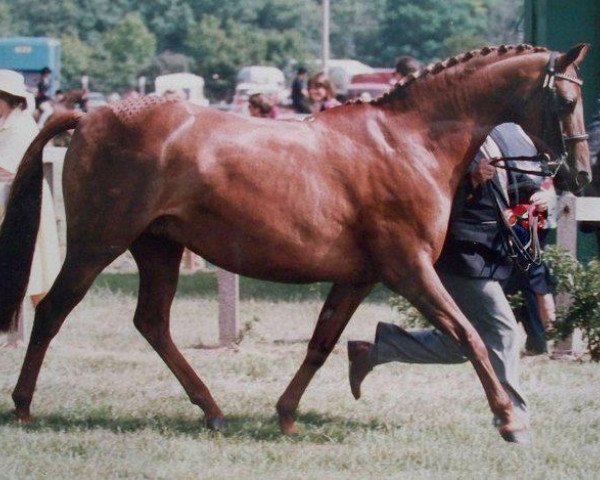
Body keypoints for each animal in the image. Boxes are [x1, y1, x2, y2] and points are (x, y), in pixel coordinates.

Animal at [0, 43, 592, 440]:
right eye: (566, 101)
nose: (580, 174)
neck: (407, 142)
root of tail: (91, 113)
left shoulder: (358, 276)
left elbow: (322, 343)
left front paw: (286, 414)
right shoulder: (409, 268)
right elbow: (469, 335)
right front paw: (509, 419)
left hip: (157, 247)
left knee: (152, 323)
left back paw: (211, 409)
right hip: (97, 244)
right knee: (53, 310)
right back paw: (24, 406)